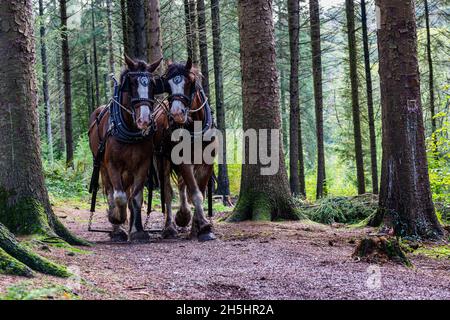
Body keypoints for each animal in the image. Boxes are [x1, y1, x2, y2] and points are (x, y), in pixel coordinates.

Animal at [88, 55, 163, 241]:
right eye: (132, 84)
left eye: (152, 85)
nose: (144, 120)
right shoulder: (112, 165)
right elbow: (119, 197)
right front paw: (117, 218)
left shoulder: (142, 165)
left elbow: (135, 198)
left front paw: (138, 231)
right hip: (102, 167)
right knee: (111, 192)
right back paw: (117, 228)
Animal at [156, 58, 217, 241]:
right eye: (167, 85)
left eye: (190, 83)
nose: (176, 114)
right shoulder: (183, 161)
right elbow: (195, 193)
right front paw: (204, 226)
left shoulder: (207, 164)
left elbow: (200, 192)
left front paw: (198, 227)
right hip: (162, 161)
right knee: (168, 192)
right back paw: (170, 226)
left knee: (182, 185)